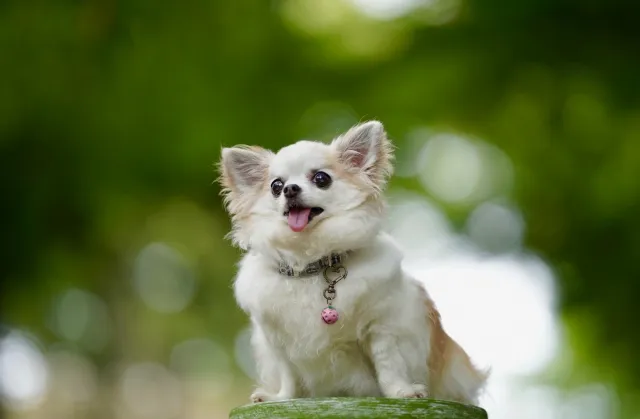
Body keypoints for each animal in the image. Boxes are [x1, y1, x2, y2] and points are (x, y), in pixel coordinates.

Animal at [218, 120, 488, 406]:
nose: (290, 189)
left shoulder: (380, 329)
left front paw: (400, 392)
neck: (312, 262)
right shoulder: (277, 342)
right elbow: (288, 374)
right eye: (276, 186)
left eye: (321, 179)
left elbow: (388, 366)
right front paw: (281, 398)